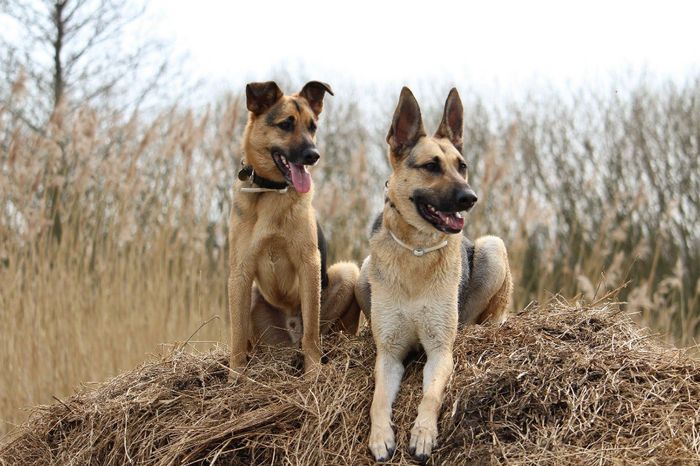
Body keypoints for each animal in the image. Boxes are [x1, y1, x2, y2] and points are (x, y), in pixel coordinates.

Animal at [230, 81, 360, 378]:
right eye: (286, 124)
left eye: (312, 127)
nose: (313, 155)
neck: (272, 191)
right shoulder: (240, 271)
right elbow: (237, 336)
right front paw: (235, 376)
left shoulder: (309, 263)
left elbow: (311, 333)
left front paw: (313, 374)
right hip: (254, 300)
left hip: (347, 272)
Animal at [356, 87, 516, 462]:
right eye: (431, 166)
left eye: (462, 166)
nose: (470, 198)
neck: (416, 252)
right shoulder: (389, 355)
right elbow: (378, 400)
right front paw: (380, 437)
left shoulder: (440, 351)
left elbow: (430, 396)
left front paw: (424, 434)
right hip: (362, 271)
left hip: (493, 248)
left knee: (490, 317)